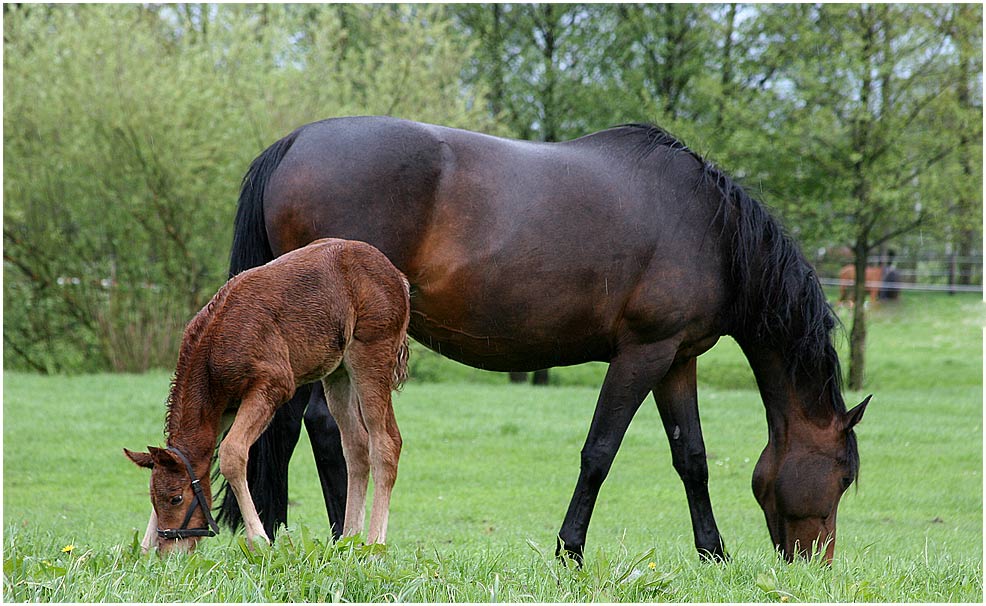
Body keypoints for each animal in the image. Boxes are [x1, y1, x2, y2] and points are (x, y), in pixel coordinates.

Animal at [124, 240, 408, 552]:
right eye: (154, 498)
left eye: (176, 498)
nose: (169, 551)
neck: (213, 348)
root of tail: (398, 277)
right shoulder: (224, 409)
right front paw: (143, 548)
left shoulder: (272, 386)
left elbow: (232, 453)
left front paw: (259, 539)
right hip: (338, 374)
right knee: (355, 446)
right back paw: (348, 540)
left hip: (371, 355)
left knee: (385, 443)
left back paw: (374, 544)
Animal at [217, 115, 868, 564]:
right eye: (842, 476)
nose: (816, 565)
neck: (711, 228)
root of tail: (295, 143)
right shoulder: (642, 354)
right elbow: (599, 453)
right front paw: (569, 551)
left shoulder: (676, 359)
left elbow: (692, 459)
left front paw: (713, 553)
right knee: (322, 432)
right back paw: (340, 535)